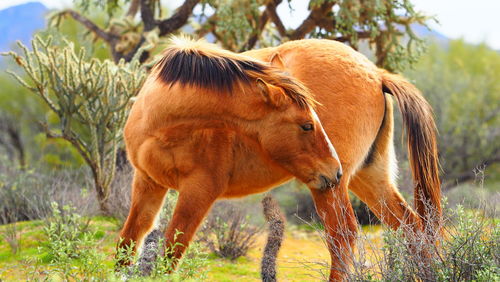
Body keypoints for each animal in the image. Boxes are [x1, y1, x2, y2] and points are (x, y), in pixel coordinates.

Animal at [118, 36, 442, 280]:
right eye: (307, 124)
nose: (334, 170)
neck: (163, 124)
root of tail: (377, 74)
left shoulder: (199, 191)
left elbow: (173, 250)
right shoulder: (147, 183)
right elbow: (129, 240)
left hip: (331, 187)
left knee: (343, 235)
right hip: (367, 177)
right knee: (412, 228)